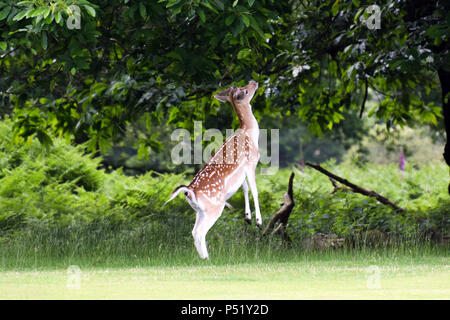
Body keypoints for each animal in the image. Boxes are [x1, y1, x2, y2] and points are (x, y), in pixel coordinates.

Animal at [165, 81, 262, 258]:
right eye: (245, 90)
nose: (254, 82)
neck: (249, 133)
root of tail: (189, 191)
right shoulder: (251, 162)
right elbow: (254, 190)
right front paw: (258, 221)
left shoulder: (241, 173)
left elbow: (245, 188)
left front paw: (248, 218)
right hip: (214, 208)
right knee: (200, 232)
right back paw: (207, 258)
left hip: (200, 211)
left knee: (194, 231)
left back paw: (204, 257)